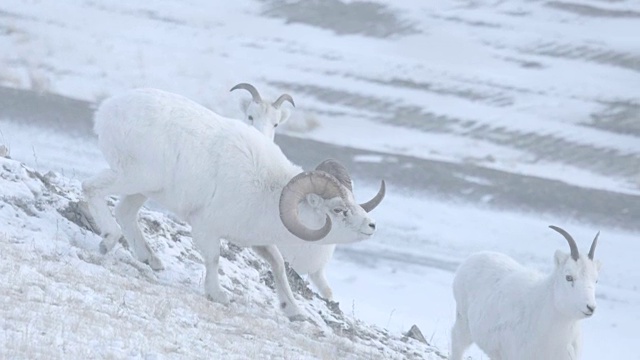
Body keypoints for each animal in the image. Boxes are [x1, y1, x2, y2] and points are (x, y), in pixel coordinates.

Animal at [83, 88, 388, 320]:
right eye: (338, 209)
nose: (371, 226)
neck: (268, 191)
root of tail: (108, 110)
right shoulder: (206, 229)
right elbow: (214, 258)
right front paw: (218, 295)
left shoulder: (257, 240)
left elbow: (278, 265)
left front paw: (293, 311)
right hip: (132, 177)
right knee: (92, 189)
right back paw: (108, 241)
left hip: (143, 189)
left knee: (125, 213)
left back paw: (152, 260)